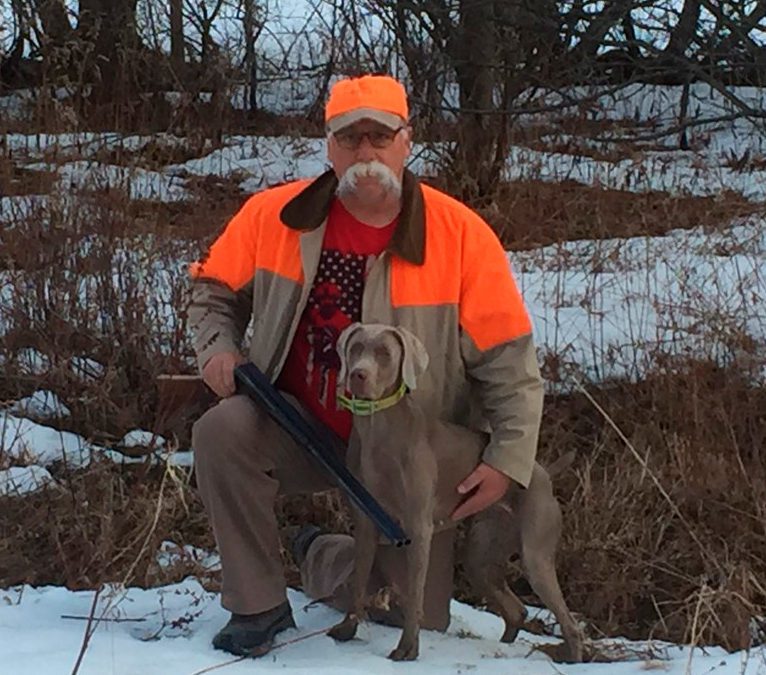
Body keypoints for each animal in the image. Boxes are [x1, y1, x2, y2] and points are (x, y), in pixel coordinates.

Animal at [328, 320, 584, 660]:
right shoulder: (366, 520)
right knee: (516, 610)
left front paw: (407, 649)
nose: (358, 374)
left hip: (535, 554)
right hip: (481, 554)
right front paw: (347, 629)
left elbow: (414, 595)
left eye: (384, 353)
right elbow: (358, 579)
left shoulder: (418, 528)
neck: (378, 432)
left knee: (570, 623)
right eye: (356, 348)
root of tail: (543, 473)